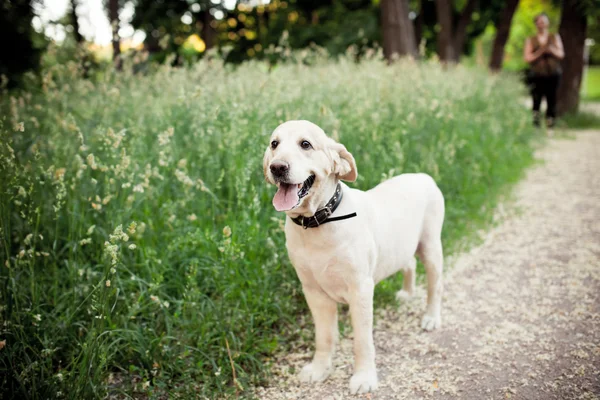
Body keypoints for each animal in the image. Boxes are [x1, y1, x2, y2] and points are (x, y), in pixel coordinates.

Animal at [264, 119, 446, 394]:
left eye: (305, 144)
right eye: (275, 144)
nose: (277, 167)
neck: (317, 223)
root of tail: (422, 176)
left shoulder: (360, 290)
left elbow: (362, 341)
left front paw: (364, 377)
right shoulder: (314, 292)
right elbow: (324, 337)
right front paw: (319, 369)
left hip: (431, 247)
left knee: (435, 286)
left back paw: (432, 318)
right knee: (410, 264)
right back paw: (407, 293)